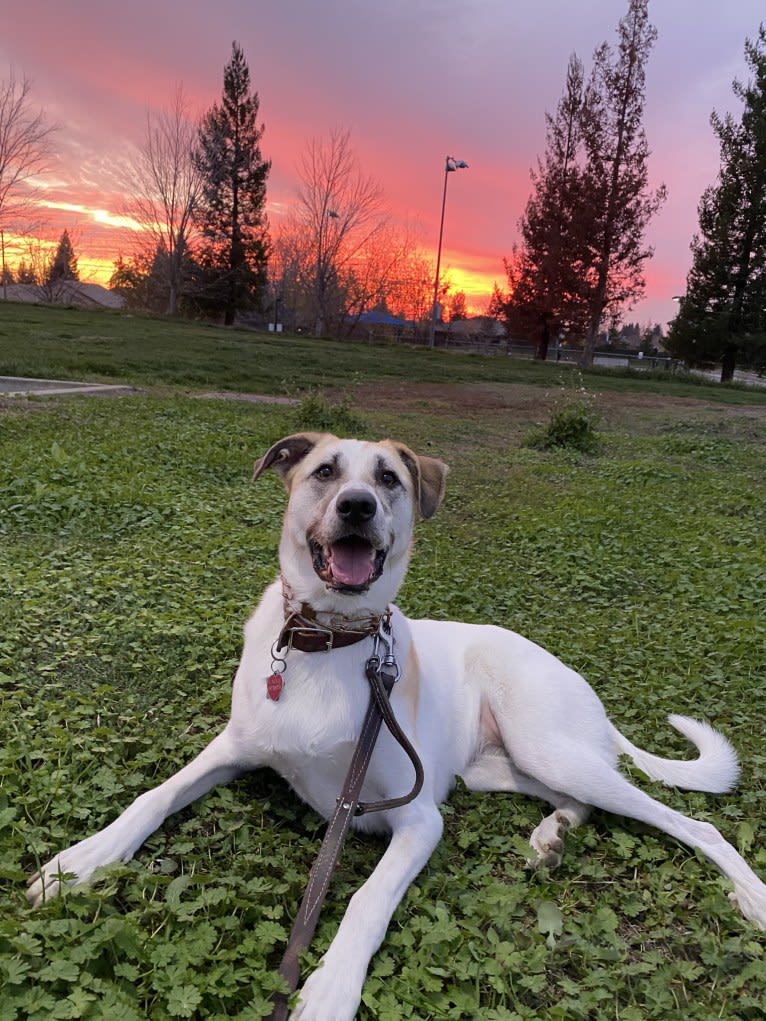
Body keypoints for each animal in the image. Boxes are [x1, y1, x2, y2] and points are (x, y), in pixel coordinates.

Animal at [27, 430, 766, 1021]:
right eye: (326, 471)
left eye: (388, 479)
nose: (357, 506)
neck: (328, 640)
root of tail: (589, 698)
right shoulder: (233, 747)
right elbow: (152, 796)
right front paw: (79, 860)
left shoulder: (417, 817)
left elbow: (367, 899)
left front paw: (330, 988)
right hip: (499, 767)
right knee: (579, 800)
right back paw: (552, 837)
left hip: (543, 743)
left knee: (691, 823)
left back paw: (751, 894)